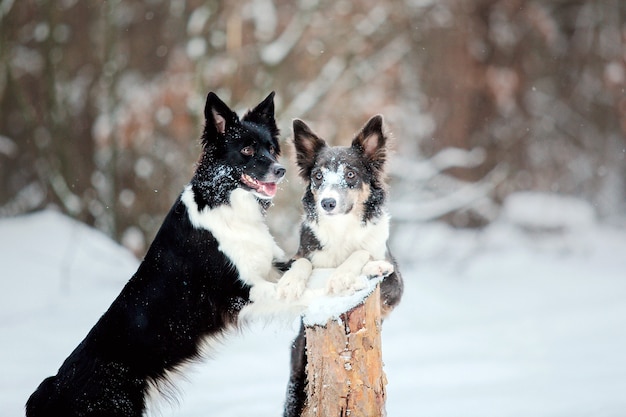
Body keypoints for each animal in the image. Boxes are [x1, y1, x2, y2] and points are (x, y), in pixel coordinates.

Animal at [25, 92, 288, 416]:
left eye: (271, 148)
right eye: (247, 149)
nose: (281, 169)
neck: (224, 203)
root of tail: (50, 390)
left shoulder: (271, 267)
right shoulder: (237, 290)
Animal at [280, 114, 402, 416]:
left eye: (350, 175)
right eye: (318, 176)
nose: (328, 203)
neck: (341, 229)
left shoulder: (396, 287)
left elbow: (361, 253)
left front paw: (345, 275)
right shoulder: (302, 253)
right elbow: (301, 262)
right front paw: (290, 282)